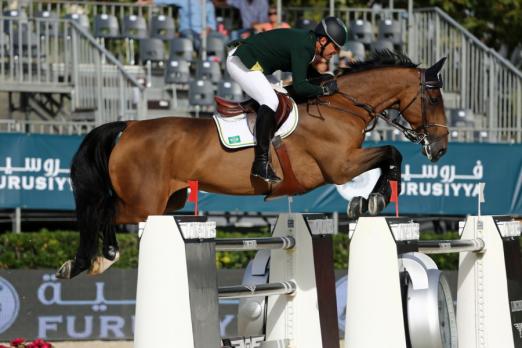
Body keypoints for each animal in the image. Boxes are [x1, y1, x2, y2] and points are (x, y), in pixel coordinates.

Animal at [55, 51, 446, 280]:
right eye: (433, 96)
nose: (440, 147)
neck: (341, 105)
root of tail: (130, 126)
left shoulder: (345, 162)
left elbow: (388, 156)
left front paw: (368, 200)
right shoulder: (339, 165)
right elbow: (391, 153)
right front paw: (376, 198)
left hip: (169, 201)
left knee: (106, 211)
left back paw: (96, 259)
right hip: (144, 201)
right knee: (102, 210)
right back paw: (92, 259)